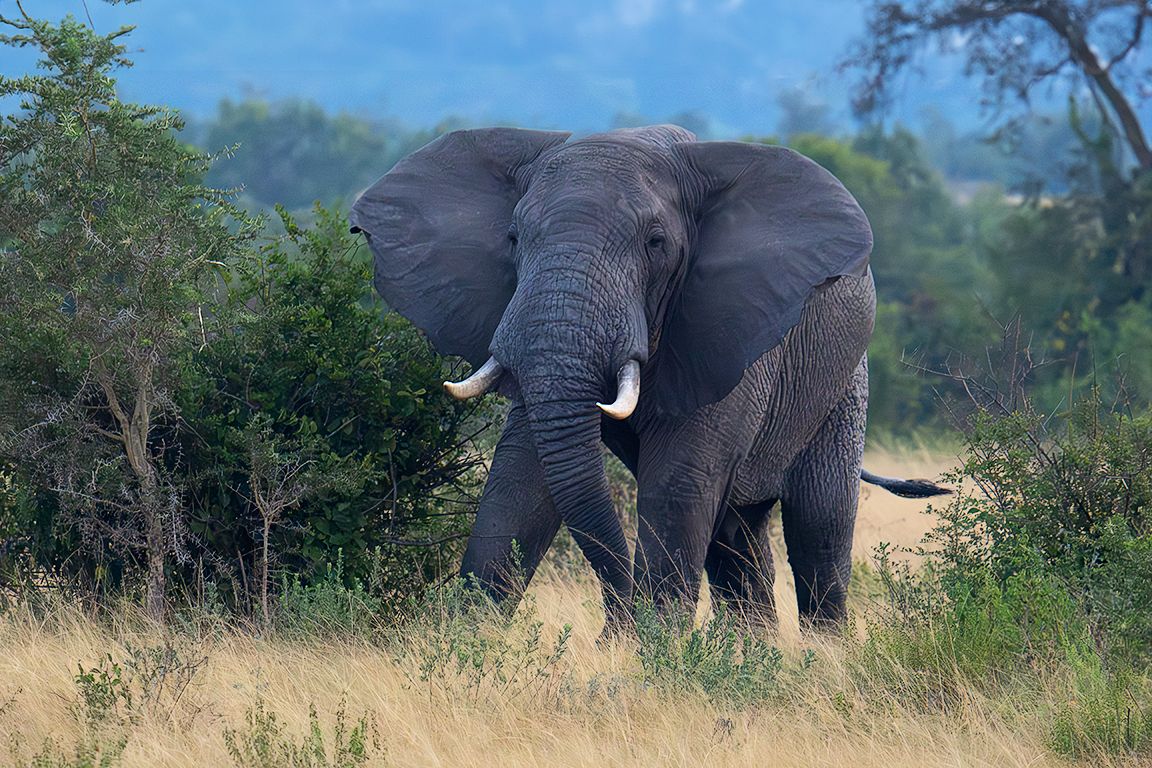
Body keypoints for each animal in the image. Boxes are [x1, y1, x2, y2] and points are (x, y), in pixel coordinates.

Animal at [349, 125, 948, 633]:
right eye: (514, 239)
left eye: (655, 243)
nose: (616, 617)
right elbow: (520, 479)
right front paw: (464, 644)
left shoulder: (728, 331)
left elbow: (676, 487)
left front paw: (653, 653)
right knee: (736, 540)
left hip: (845, 382)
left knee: (817, 531)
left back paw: (822, 659)